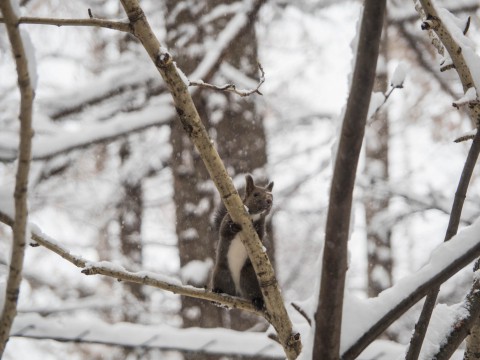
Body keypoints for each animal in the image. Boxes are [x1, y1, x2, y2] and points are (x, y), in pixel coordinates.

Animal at [211, 175, 274, 310]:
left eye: (272, 195)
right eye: (256, 194)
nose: (269, 201)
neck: (253, 217)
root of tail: (238, 292)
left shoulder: (262, 228)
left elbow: (260, 237)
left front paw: (255, 228)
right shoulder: (227, 219)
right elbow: (224, 230)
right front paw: (233, 227)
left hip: (249, 277)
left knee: (252, 292)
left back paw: (258, 301)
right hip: (221, 273)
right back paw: (218, 293)